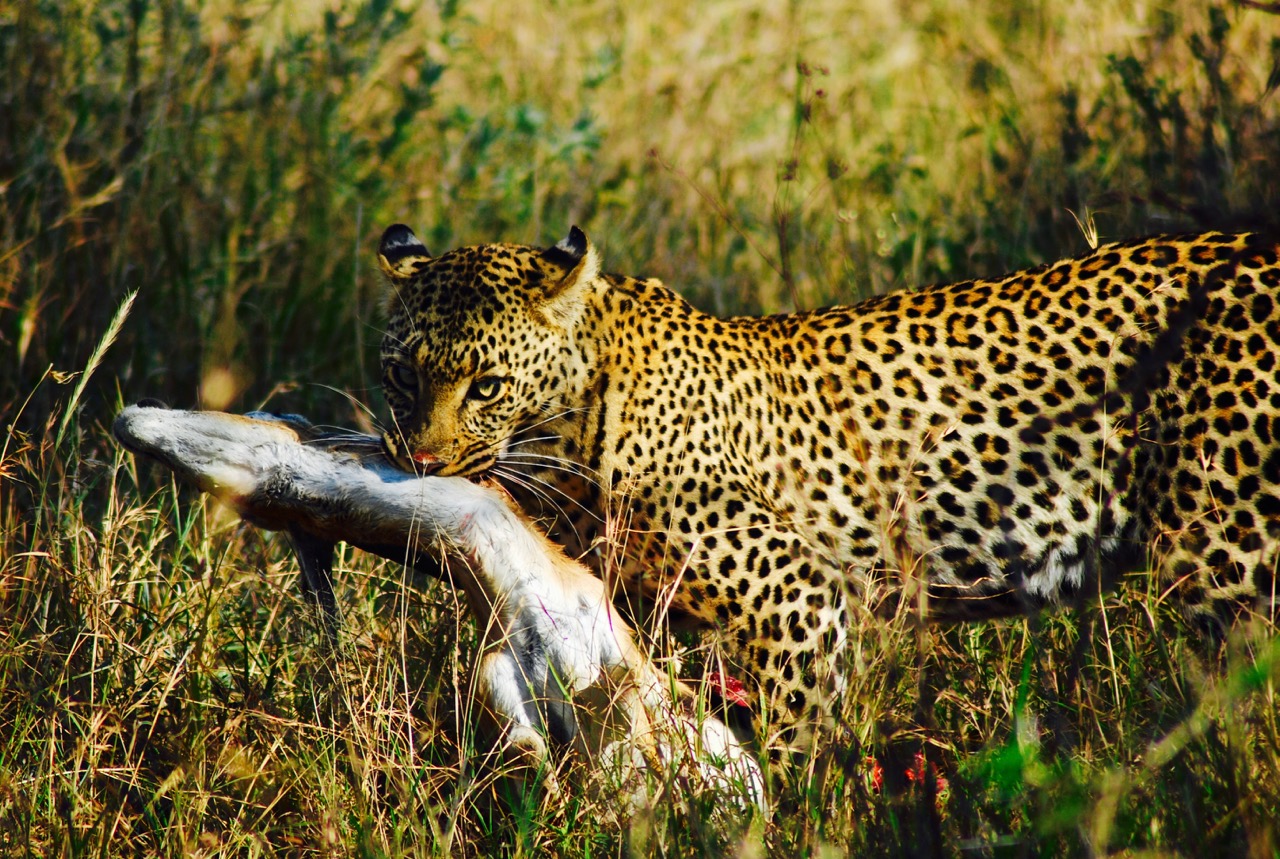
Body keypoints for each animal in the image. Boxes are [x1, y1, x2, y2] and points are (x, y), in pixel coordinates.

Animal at [376, 226, 1280, 752]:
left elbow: (798, 740)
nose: (422, 460)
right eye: (402, 376)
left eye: (487, 385)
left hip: (1232, 555)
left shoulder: (798, 593)